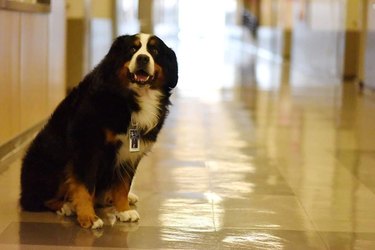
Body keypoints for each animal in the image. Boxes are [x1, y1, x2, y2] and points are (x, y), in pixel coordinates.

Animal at [19, 32, 178, 229]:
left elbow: (123, 185)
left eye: (154, 51)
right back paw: (66, 206)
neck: (130, 99)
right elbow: (85, 186)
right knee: (37, 200)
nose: (142, 58)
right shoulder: (88, 146)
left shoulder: (129, 153)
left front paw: (123, 210)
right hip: (50, 162)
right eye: (132, 49)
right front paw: (89, 217)